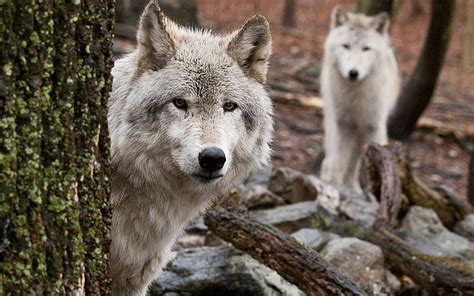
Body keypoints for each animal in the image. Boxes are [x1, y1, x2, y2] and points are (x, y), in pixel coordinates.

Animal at [318, 8, 400, 192]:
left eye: (366, 49)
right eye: (346, 46)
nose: (353, 73)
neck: (356, 98)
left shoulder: (374, 127)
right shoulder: (343, 125)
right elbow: (339, 162)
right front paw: (335, 185)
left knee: (353, 164)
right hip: (333, 122)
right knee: (330, 159)